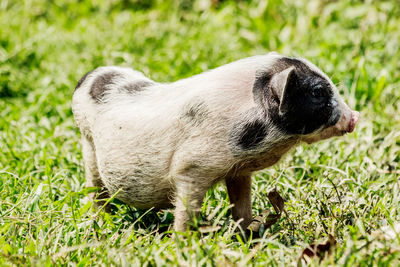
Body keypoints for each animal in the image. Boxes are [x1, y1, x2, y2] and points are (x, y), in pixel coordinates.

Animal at [71, 52, 360, 232]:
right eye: (317, 92)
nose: (355, 116)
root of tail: (88, 76)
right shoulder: (190, 168)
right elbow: (186, 210)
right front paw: (183, 243)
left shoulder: (238, 170)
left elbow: (241, 203)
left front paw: (248, 230)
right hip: (88, 146)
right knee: (95, 188)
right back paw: (100, 220)